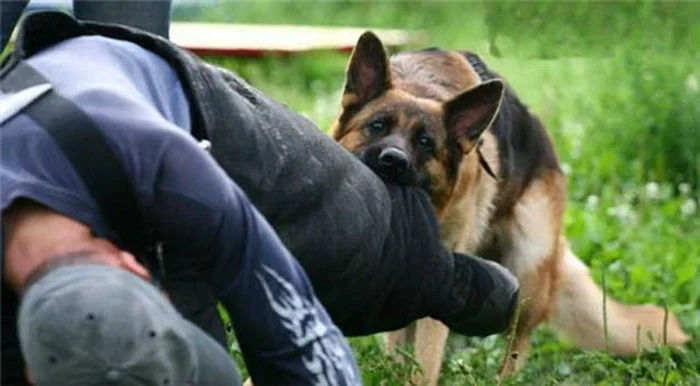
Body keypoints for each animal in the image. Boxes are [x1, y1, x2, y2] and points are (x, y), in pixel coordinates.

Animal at [332, 30, 688, 386]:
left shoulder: (443, 279)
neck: (421, 87)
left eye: (425, 143)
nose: (393, 161)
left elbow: (427, 357)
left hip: (526, 272)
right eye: (377, 126)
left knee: (519, 342)